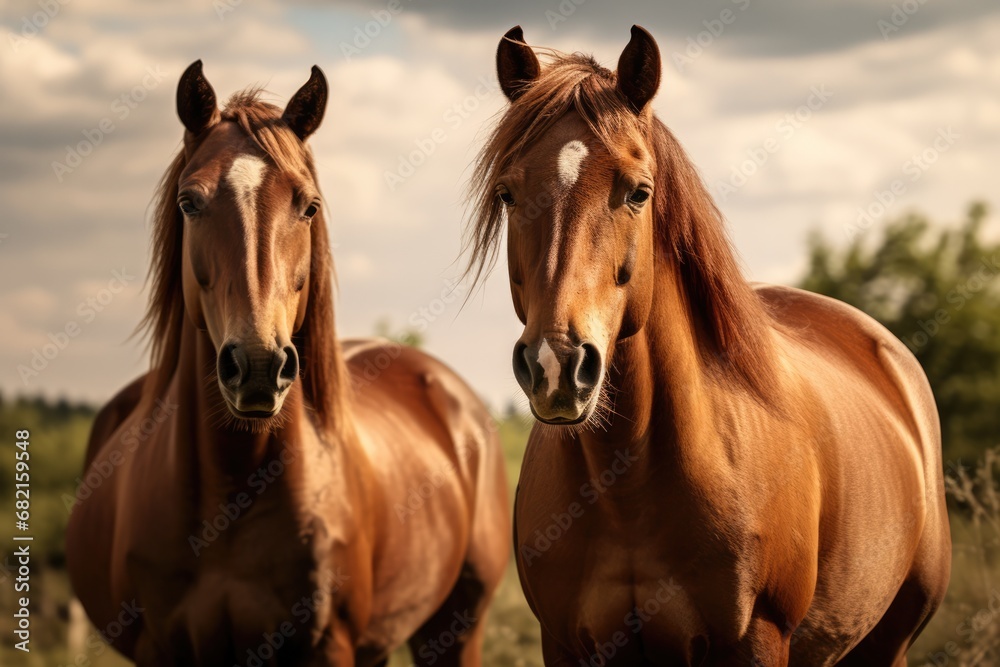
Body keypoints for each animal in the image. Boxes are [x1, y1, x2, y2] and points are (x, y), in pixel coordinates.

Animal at [66, 61, 510, 666]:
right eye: (189, 203)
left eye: (309, 206)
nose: (257, 365)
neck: (232, 490)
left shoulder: (326, 646)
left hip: (457, 627)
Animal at [464, 25, 951, 666]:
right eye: (507, 195)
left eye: (638, 192)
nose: (557, 364)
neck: (632, 488)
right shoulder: (566, 645)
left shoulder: (757, 640)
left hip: (889, 642)